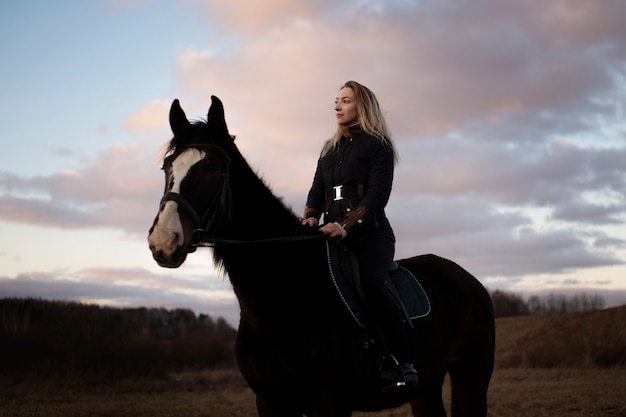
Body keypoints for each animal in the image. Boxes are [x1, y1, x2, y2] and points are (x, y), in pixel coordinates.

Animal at [146, 96, 492, 414]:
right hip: (427, 388)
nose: (163, 240)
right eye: (167, 166)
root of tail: (468, 280)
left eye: (212, 167)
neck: (283, 294)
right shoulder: (270, 402)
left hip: (471, 378)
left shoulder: (330, 402)